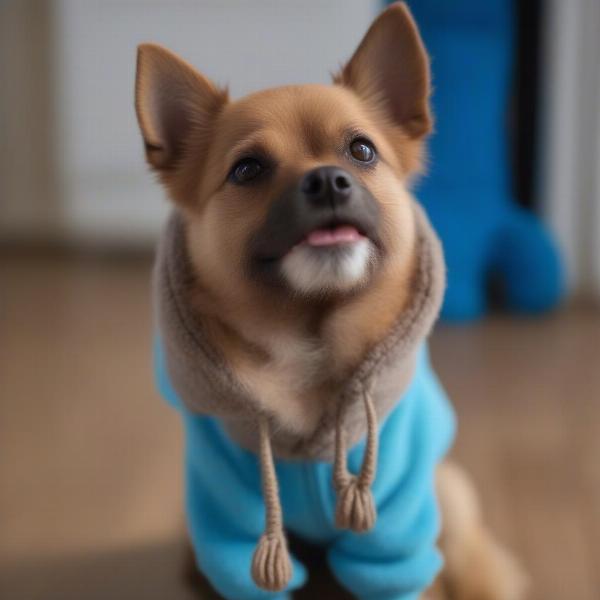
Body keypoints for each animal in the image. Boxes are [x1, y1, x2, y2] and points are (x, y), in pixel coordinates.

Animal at [135, 2, 524, 596]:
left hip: (447, 494)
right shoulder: (231, 536)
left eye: (362, 150)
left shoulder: (393, 540)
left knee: (469, 551)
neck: (308, 343)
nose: (327, 180)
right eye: (247, 169)